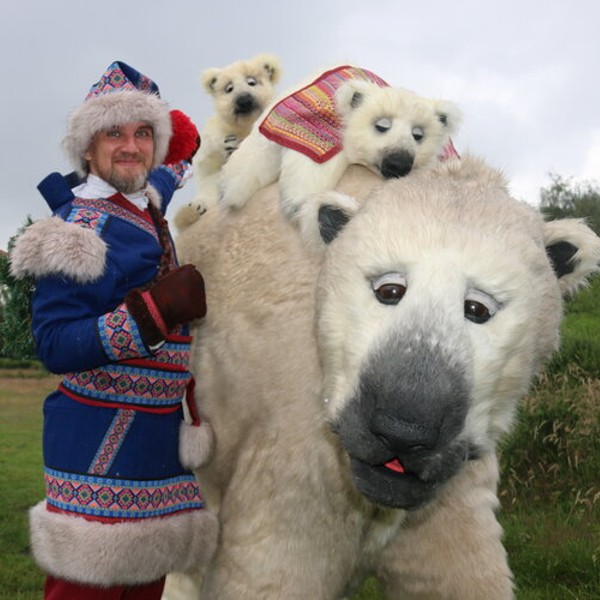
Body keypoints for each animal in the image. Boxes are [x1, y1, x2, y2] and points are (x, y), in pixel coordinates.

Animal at [172, 157, 600, 596]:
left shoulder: (450, 488)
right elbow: (269, 572)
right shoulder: (295, 469)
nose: (403, 431)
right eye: (389, 289)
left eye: (478, 308)